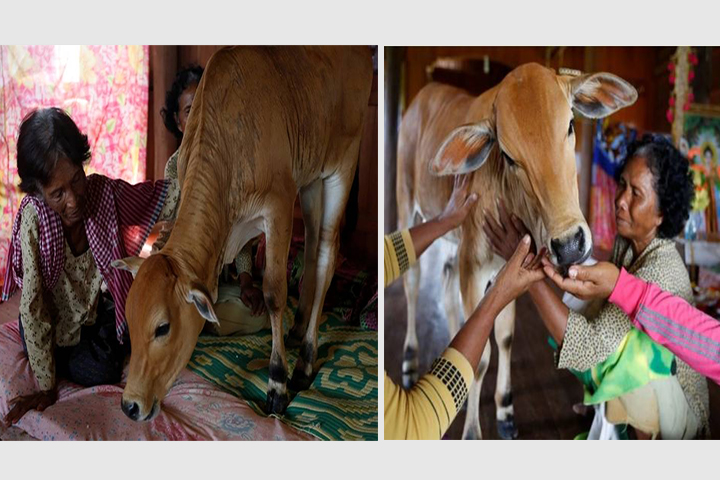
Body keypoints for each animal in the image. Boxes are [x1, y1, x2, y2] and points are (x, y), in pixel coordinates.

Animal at [114, 45, 372, 420]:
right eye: (130, 319)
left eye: (162, 327)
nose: (130, 406)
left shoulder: (279, 206)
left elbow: (274, 293)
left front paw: (277, 384)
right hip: (310, 177)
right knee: (311, 247)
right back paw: (297, 329)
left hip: (342, 163)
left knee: (327, 252)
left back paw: (305, 363)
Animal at [396, 62, 640, 438]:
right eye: (509, 157)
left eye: (570, 125)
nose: (569, 245)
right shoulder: (474, 265)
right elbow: (480, 357)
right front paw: (472, 431)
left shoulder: (504, 266)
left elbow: (505, 336)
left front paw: (505, 409)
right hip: (406, 202)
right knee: (412, 280)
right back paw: (409, 358)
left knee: (446, 288)